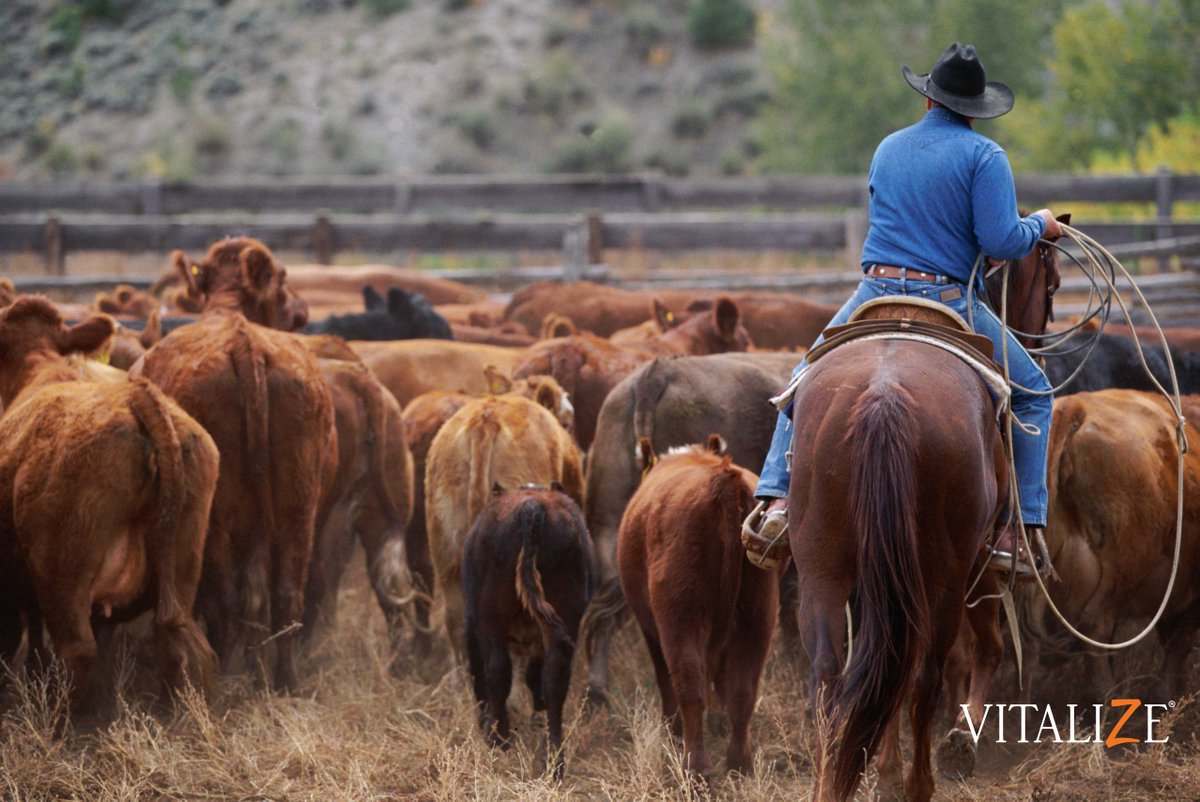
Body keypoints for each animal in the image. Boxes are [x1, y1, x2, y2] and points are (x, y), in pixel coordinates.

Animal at [462, 483, 596, 779]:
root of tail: (531, 507)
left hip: (492, 618)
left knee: (498, 670)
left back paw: (499, 739)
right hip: (564, 616)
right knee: (555, 676)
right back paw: (553, 758)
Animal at [619, 435, 779, 779]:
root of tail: (724, 480)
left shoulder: (650, 627)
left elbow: (664, 675)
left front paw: (672, 726)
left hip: (680, 615)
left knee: (688, 684)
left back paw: (695, 767)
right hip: (758, 614)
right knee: (743, 689)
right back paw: (739, 762)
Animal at [791, 230, 1062, 802]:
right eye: (1052, 285)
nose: (1037, 343)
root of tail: (884, 395)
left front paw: (884, 767)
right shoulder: (981, 562)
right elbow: (989, 647)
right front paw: (959, 739)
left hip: (823, 566)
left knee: (833, 674)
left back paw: (834, 779)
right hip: (947, 571)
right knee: (924, 674)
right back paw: (922, 781)